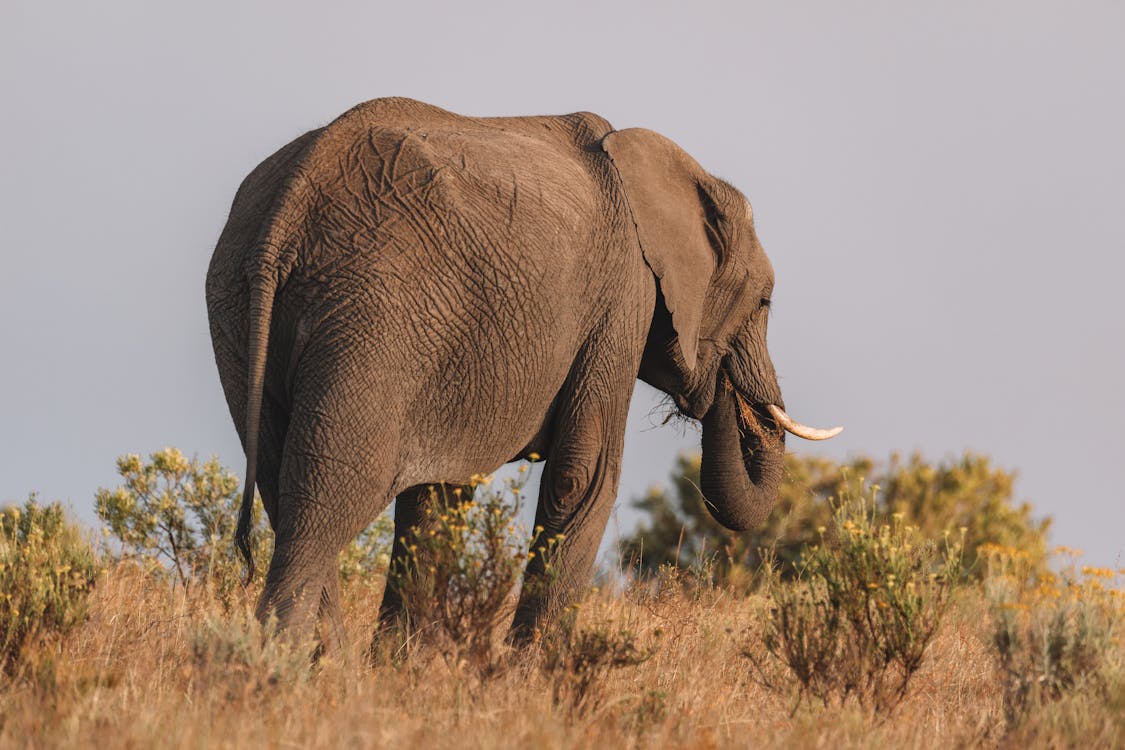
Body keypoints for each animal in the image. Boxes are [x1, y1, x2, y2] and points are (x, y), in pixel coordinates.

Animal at [204, 98, 837, 652]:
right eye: (765, 302)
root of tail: (289, 204)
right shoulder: (622, 296)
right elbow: (584, 476)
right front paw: (528, 681)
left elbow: (437, 495)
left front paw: (402, 671)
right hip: (373, 310)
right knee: (326, 499)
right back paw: (290, 672)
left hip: (240, 309)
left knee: (282, 489)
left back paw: (333, 672)